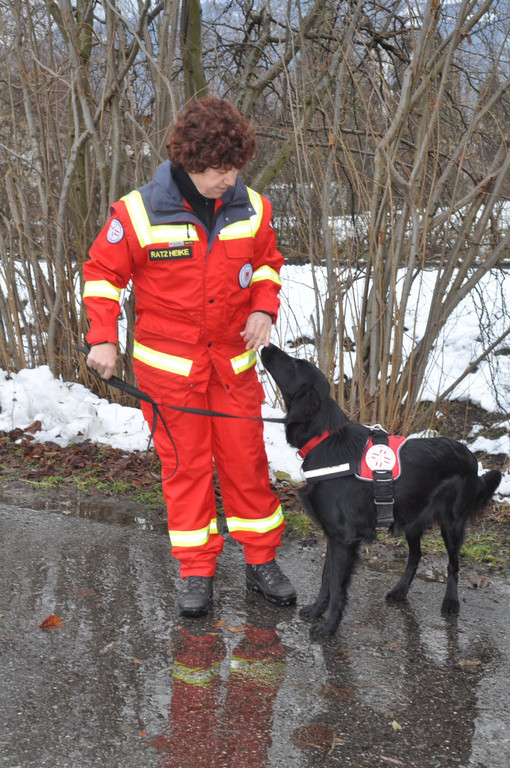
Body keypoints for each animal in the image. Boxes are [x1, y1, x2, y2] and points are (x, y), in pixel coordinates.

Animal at [261, 344, 502, 637]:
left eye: (295, 364)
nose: (266, 346)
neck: (326, 438)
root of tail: (471, 458)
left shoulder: (344, 537)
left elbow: (336, 585)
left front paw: (329, 625)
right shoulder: (333, 534)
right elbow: (326, 577)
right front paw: (317, 610)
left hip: (452, 523)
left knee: (453, 564)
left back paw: (451, 602)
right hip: (412, 519)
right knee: (416, 556)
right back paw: (400, 591)